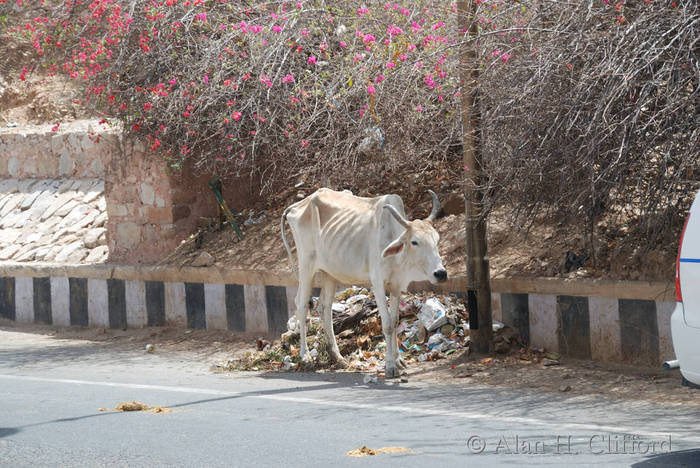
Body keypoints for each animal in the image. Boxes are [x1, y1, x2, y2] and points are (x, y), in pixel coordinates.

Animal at [280, 188, 448, 378]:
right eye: (415, 242)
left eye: (437, 240)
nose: (441, 273)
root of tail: (297, 205)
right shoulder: (378, 283)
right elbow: (387, 325)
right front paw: (390, 366)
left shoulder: (396, 286)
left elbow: (395, 321)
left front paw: (399, 361)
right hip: (306, 266)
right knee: (301, 304)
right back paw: (305, 357)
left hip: (329, 273)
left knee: (325, 307)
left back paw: (337, 357)